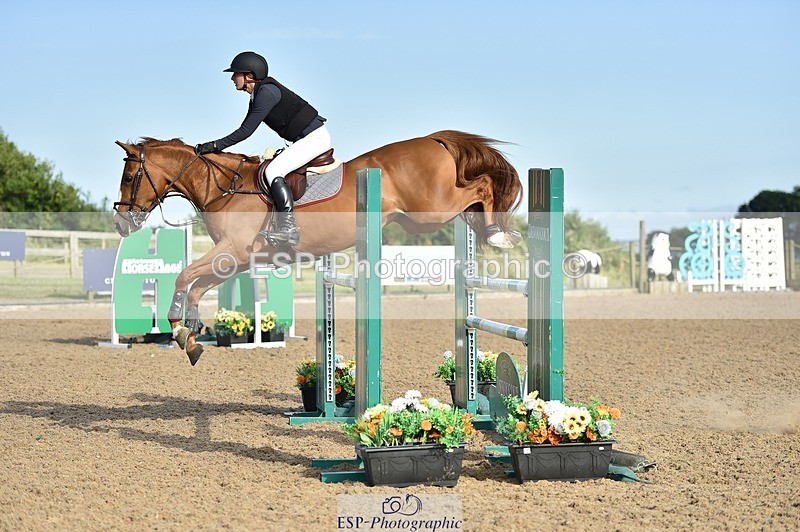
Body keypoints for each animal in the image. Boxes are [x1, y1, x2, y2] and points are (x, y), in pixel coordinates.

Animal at [113, 130, 523, 364]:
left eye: (130, 177)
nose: (121, 223)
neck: (223, 188)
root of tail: (433, 139)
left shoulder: (234, 252)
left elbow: (184, 276)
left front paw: (180, 329)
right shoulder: (237, 260)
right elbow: (196, 285)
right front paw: (190, 337)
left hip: (429, 210)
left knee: (482, 185)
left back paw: (498, 234)